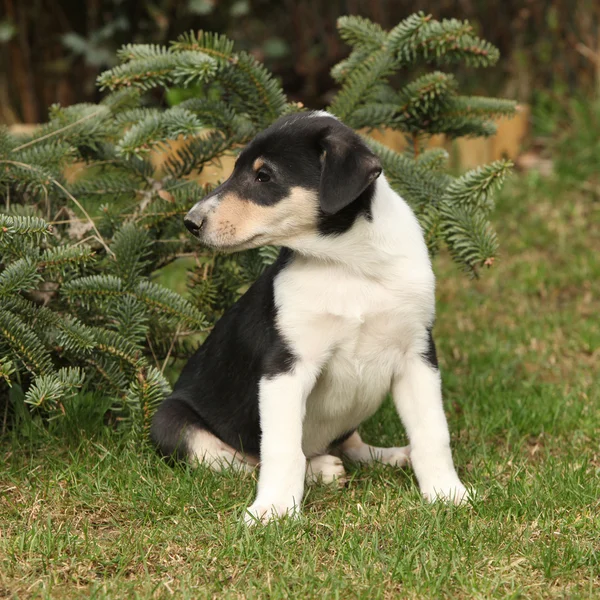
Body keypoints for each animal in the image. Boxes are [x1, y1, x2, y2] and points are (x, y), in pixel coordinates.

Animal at [151, 110, 468, 524]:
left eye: (264, 176)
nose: (191, 222)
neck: (350, 265)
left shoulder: (417, 354)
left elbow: (433, 432)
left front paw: (448, 494)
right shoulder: (286, 366)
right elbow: (282, 449)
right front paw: (273, 511)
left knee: (351, 443)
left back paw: (392, 456)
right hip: (170, 421)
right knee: (245, 461)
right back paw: (321, 471)